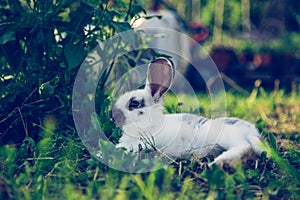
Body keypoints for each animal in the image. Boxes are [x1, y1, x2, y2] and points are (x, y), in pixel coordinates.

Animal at [111, 57, 264, 166]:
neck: (150, 123)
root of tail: (251, 132)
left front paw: (118, 148)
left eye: (134, 103)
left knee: (245, 147)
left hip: (227, 136)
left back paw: (219, 164)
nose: (112, 116)